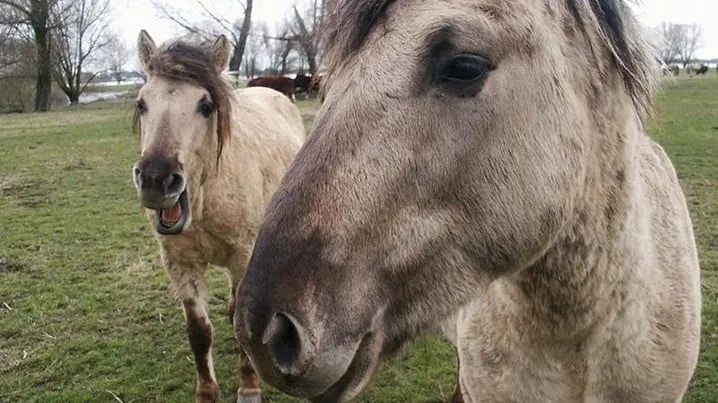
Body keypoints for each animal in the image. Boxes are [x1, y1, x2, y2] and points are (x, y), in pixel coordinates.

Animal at [131, 31, 306, 403]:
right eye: (142, 104)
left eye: (206, 106)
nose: (156, 180)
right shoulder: (181, 265)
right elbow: (199, 332)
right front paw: (206, 392)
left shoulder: (243, 255)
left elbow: (240, 320)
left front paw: (249, 387)